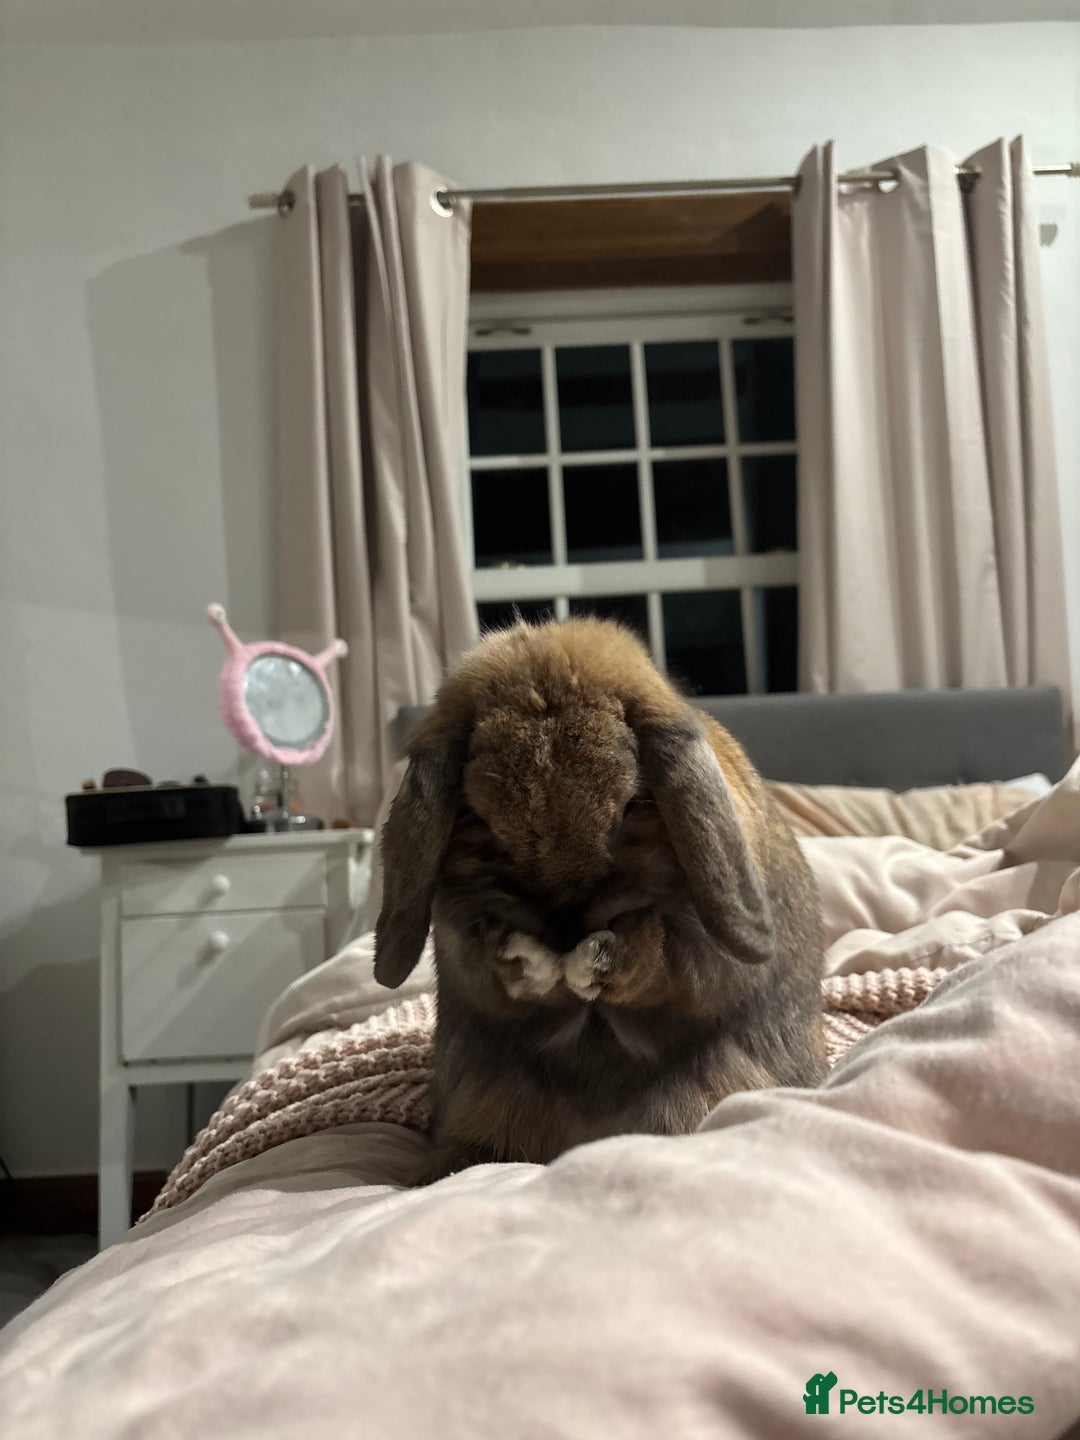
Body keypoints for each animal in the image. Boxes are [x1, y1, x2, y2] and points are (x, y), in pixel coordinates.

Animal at [374, 617, 826, 1180]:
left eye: (632, 805)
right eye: (479, 820)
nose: (565, 926)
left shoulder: (702, 949)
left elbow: (664, 959)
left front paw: (594, 962)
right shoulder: (462, 938)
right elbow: (492, 964)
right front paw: (530, 959)